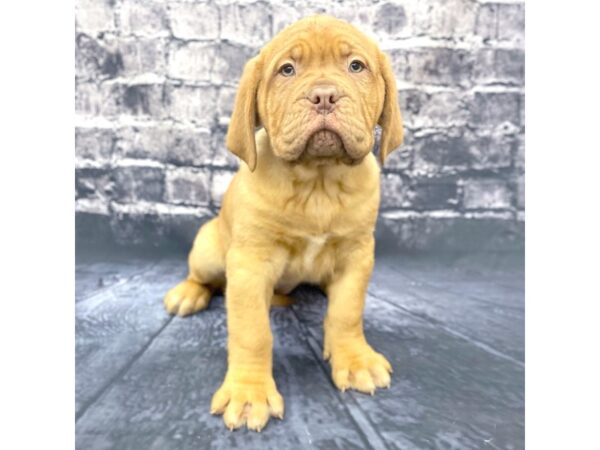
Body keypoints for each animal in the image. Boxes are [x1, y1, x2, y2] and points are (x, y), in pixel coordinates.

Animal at [164, 14, 404, 432]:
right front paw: (248, 393)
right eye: (287, 70)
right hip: (209, 250)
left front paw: (354, 359)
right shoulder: (249, 263)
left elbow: (347, 312)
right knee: (203, 278)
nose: (324, 95)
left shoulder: (357, 254)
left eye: (356, 66)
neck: (318, 182)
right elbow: (252, 332)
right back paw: (188, 293)